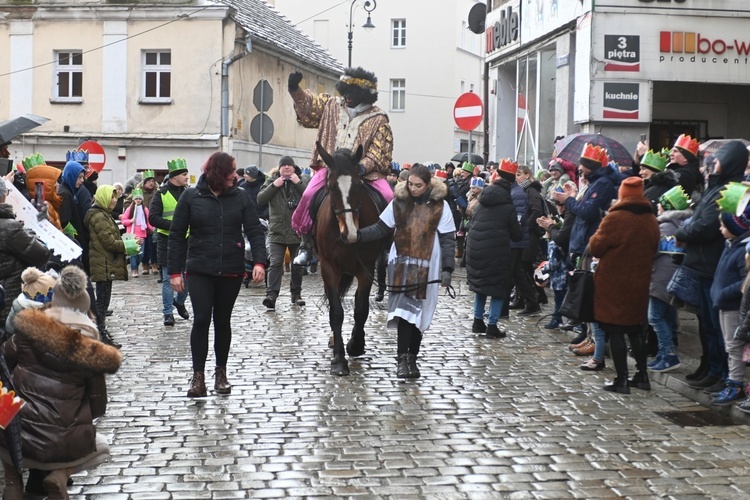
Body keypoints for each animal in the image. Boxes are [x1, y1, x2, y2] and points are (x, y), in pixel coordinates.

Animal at [314, 142, 384, 376]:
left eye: (359, 185)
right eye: (330, 187)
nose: (351, 234)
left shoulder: (366, 268)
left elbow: (361, 309)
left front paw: (355, 344)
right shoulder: (328, 268)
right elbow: (336, 311)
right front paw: (338, 359)